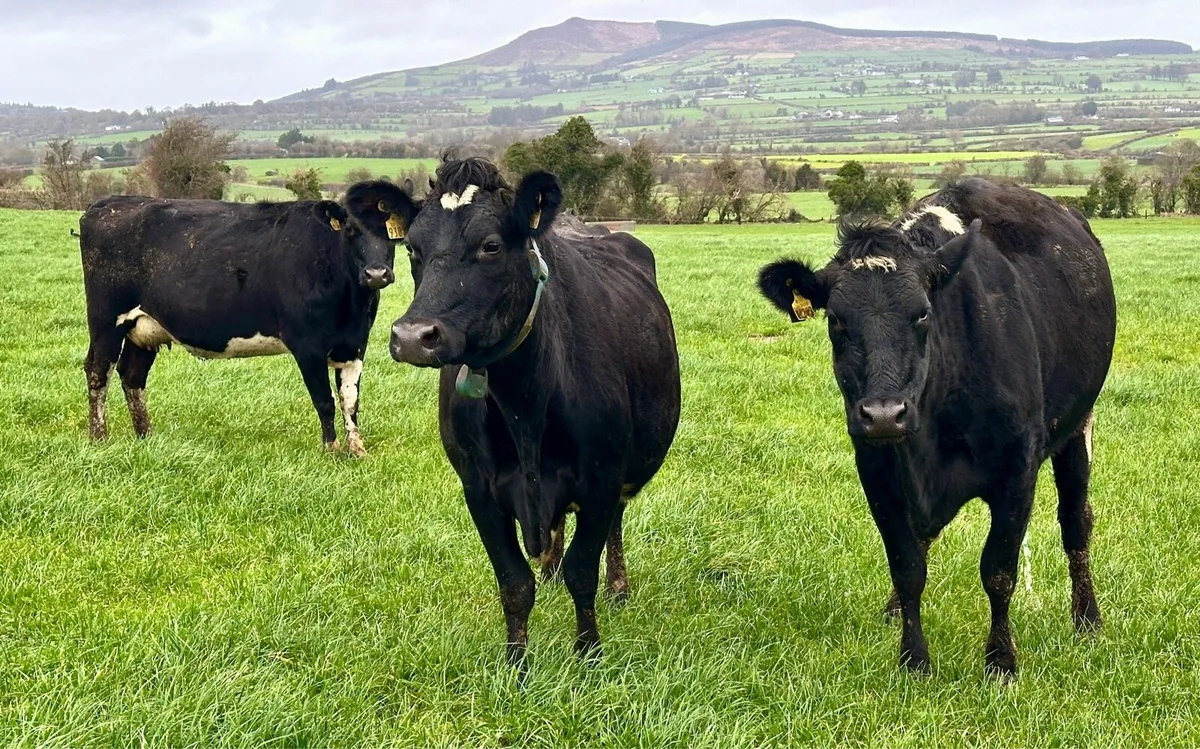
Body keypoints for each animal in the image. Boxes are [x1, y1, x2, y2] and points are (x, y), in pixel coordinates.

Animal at [79, 182, 408, 456]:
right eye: (351, 230)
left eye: (393, 235)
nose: (376, 274)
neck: (350, 305)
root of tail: (108, 203)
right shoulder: (308, 346)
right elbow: (324, 401)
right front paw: (331, 450)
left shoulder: (355, 345)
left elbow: (350, 402)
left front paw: (357, 450)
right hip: (107, 320)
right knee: (98, 371)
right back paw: (99, 437)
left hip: (144, 328)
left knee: (132, 375)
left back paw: (146, 436)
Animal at [365, 156, 681, 664]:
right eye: (412, 247)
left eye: (491, 245)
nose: (412, 336)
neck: (525, 405)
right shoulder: (478, 489)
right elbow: (514, 583)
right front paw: (517, 664)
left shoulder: (601, 478)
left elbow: (582, 571)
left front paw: (588, 655)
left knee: (615, 523)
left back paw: (618, 586)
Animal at [758, 178, 1116, 678]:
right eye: (836, 319)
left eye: (924, 312)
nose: (884, 413)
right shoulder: (877, 469)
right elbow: (907, 567)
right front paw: (913, 659)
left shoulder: (1018, 469)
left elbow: (998, 570)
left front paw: (1001, 661)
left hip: (1078, 426)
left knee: (1076, 522)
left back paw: (1087, 618)